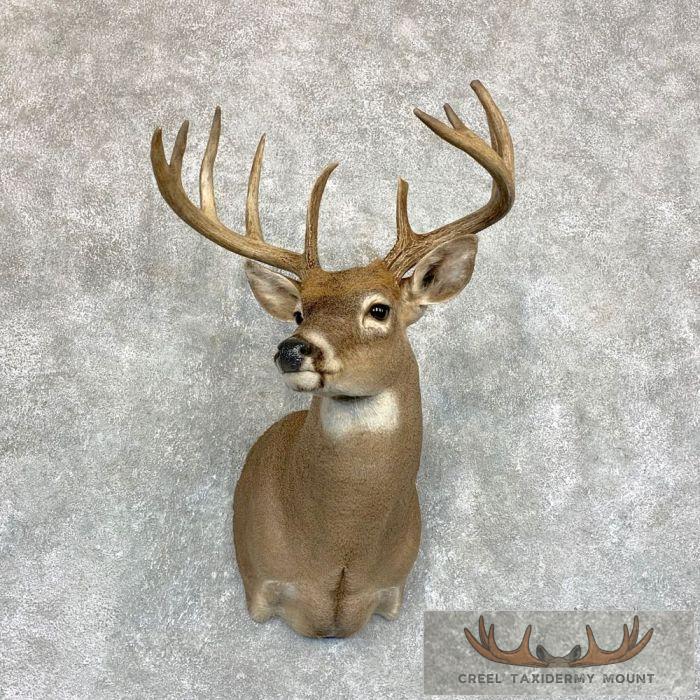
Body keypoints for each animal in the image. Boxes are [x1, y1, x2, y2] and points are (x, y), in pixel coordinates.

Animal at [150, 80, 515, 638]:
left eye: (379, 309)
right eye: (300, 311)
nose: (292, 349)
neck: (339, 556)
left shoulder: (392, 592)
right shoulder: (260, 587)